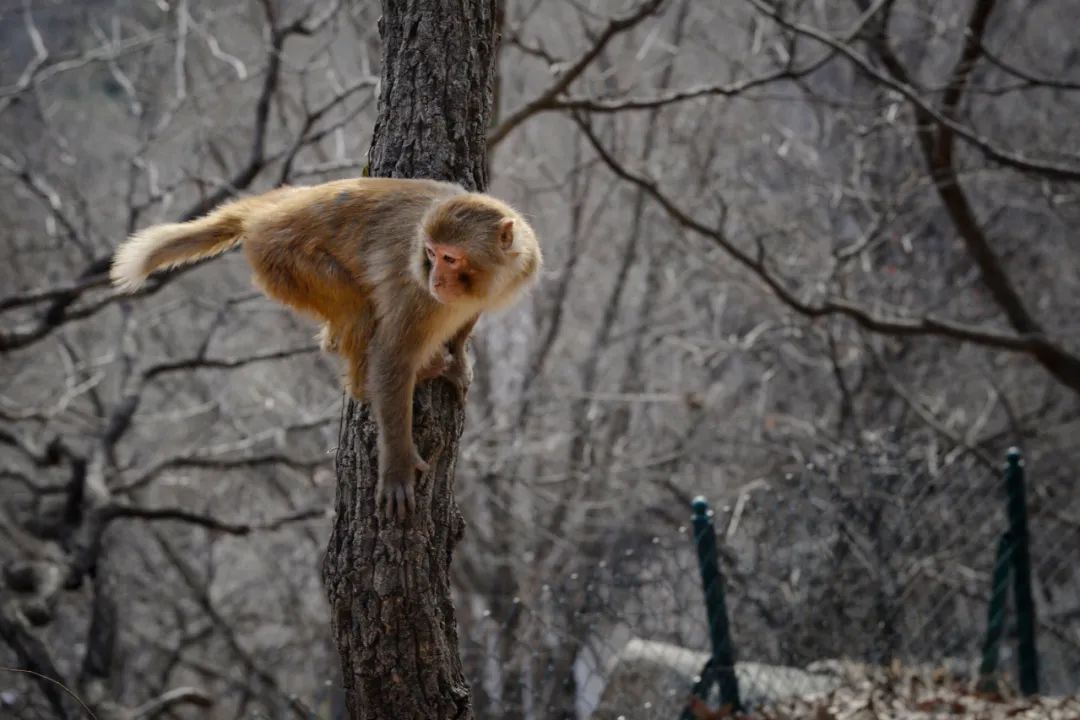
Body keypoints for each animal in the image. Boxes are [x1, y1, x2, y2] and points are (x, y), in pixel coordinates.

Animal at [111, 177, 540, 520]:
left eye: (450, 258)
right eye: (432, 255)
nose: (435, 278)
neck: (489, 278)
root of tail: (266, 213)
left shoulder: (521, 267)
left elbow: (467, 321)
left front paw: (459, 357)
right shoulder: (420, 298)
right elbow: (392, 354)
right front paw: (397, 464)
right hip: (285, 259)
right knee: (360, 313)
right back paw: (371, 383)